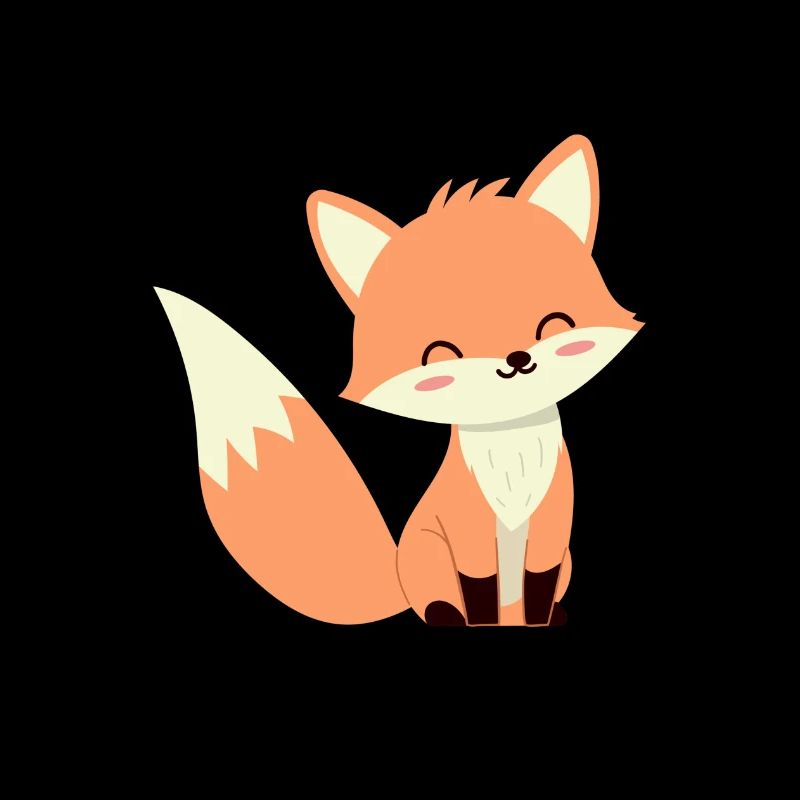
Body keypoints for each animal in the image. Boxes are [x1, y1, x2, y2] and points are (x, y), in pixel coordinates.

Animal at [156, 135, 642, 627]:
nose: (518, 359)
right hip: (429, 551)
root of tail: (398, 575)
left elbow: (539, 584)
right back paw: (452, 617)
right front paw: (479, 625)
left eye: (555, 325)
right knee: (434, 603)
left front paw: (538, 621)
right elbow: (478, 589)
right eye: (440, 354)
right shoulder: (467, 534)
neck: (511, 456)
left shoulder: (552, 533)